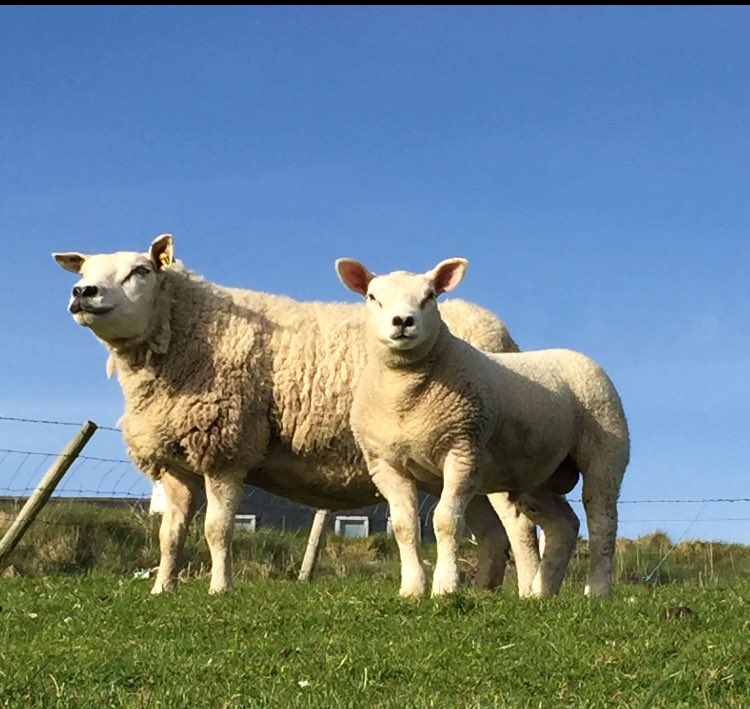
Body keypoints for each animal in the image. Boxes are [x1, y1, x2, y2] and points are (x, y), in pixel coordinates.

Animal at [52, 233, 549, 594]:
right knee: (490, 531)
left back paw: (529, 592)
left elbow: (216, 529)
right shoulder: (177, 464)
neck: (190, 332)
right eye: (85, 270)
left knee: (520, 528)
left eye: (140, 270)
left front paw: (219, 588)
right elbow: (169, 535)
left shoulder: (228, 447)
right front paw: (162, 590)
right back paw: (483, 591)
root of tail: (501, 333)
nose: (82, 292)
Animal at [336, 256, 629, 599]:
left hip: (605, 448)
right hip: (534, 474)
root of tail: (577, 355)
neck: (405, 396)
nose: (403, 321)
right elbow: (404, 526)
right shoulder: (385, 464)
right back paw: (540, 592)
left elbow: (446, 521)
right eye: (373, 297)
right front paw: (411, 590)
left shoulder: (462, 450)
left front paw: (445, 588)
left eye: (430, 296)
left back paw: (597, 590)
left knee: (602, 520)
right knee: (563, 526)